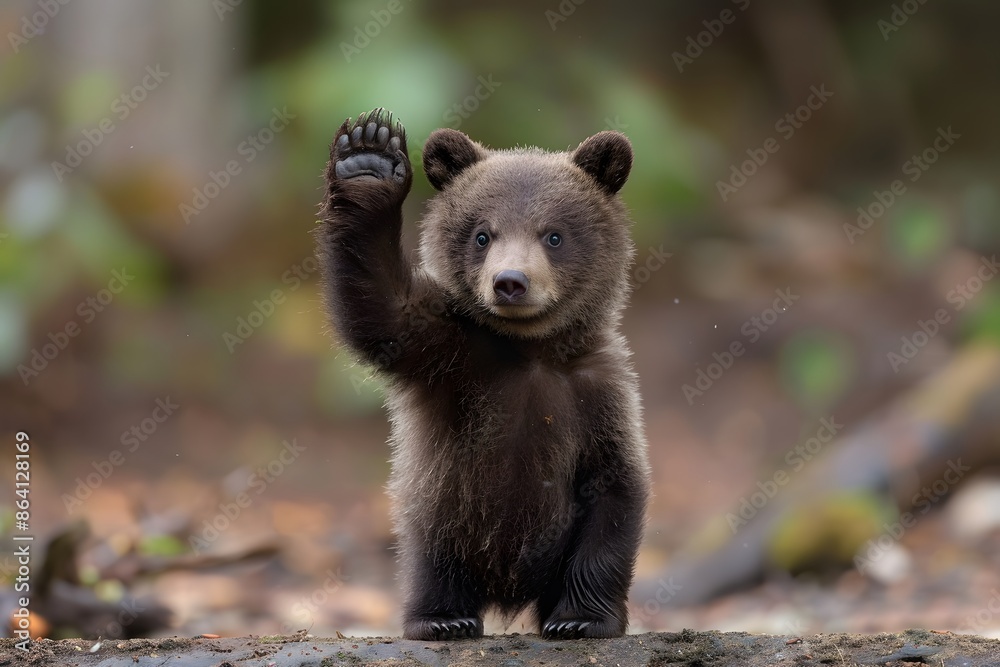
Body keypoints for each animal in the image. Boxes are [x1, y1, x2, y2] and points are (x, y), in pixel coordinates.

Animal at [316, 108, 650, 641]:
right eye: (482, 234)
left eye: (553, 235)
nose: (510, 282)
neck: (529, 350)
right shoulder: (451, 353)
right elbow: (383, 312)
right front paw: (368, 157)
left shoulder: (598, 393)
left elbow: (613, 492)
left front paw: (580, 618)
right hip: (441, 516)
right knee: (431, 564)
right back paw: (442, 618)